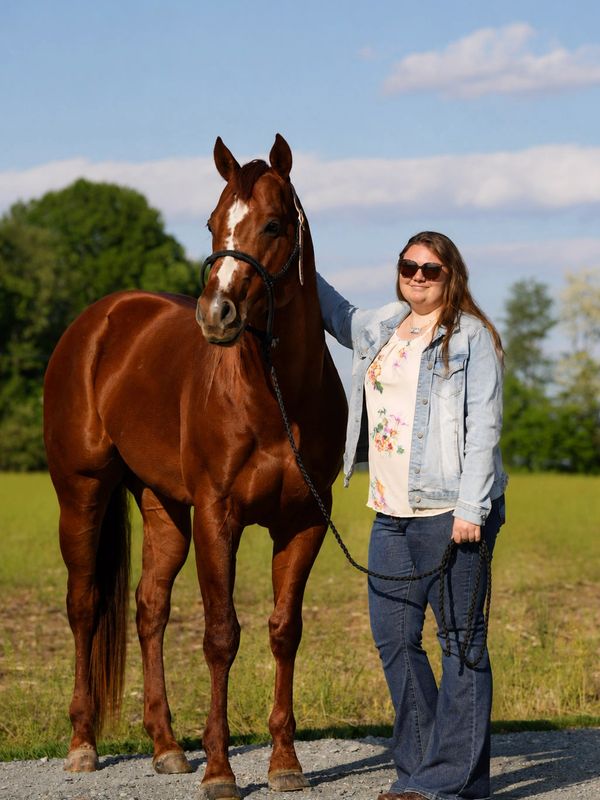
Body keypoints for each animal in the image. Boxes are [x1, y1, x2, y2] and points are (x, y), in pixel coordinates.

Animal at [43, 134, 347, 799]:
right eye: (212, 223)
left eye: (273, 223)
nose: (217, 315)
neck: (273, 398)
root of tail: (98, 321)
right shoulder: (217, 516)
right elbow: (220, 635)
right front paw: (220, 771)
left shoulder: (305, 523)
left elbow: (284, 630)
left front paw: (284, 762)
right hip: (82, 493)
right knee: (84, 607)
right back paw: (82, 745)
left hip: (163, 507)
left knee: (149, 608)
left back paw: (165, 747)